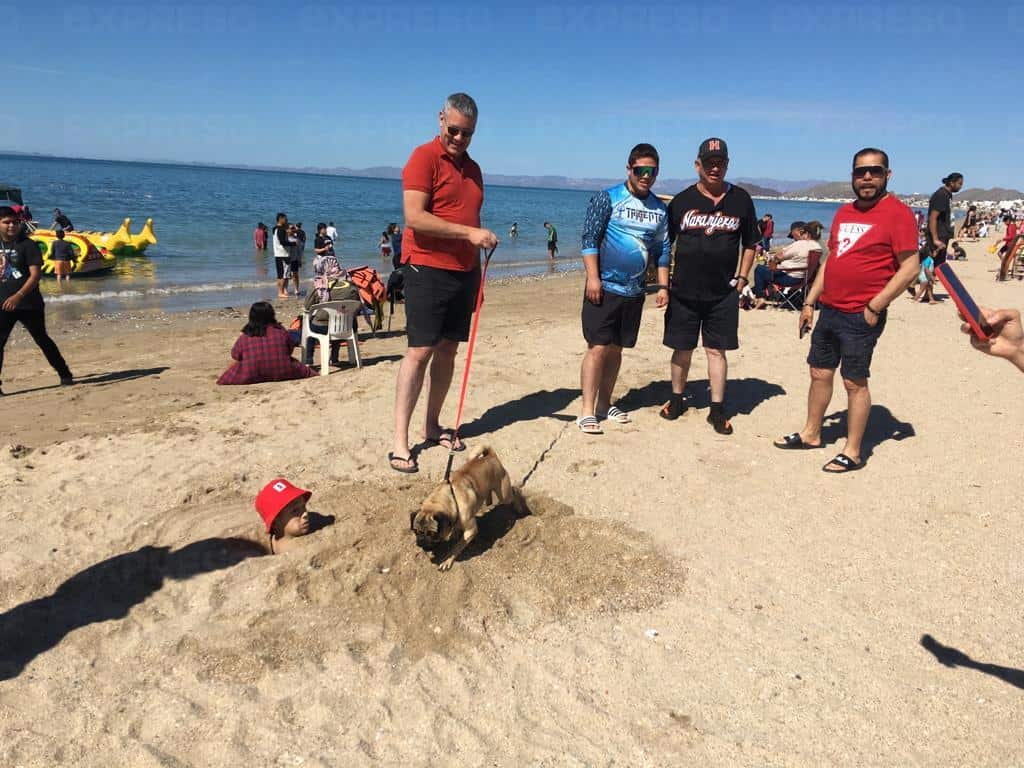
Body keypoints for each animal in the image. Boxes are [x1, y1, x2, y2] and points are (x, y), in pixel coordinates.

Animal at [407, 444, 524, 573]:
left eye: (432, 534)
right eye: (415, 531)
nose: (420, 541)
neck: (452, 497)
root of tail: (491, 456)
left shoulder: (471, 530)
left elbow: (456, 547)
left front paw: (447, 560)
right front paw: (455, 532)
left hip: (504, 495)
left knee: (514, 491)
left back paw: (518, 507)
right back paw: (488, 503)